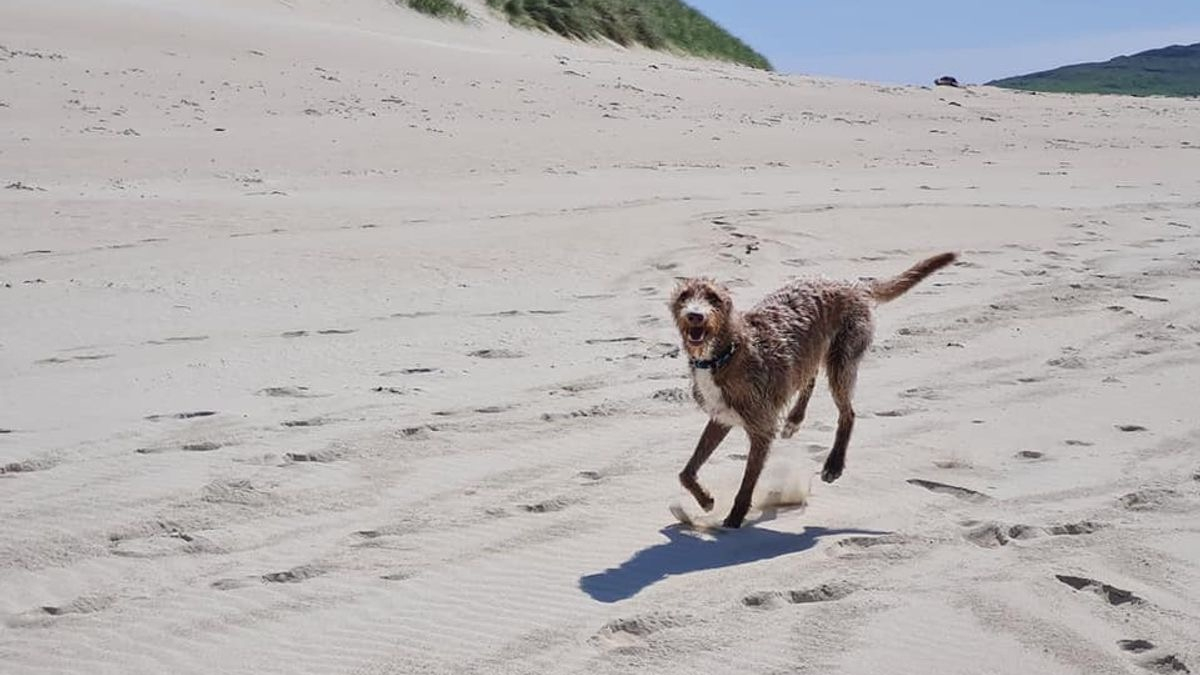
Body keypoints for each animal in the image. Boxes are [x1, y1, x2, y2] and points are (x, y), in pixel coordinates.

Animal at [667, 251, 955, 526]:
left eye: (713, 298)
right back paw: (795, 419)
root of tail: (853, 285)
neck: (725, 353)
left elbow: (747, 482)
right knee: (811, 378)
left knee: (847, 413)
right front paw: (705, 500)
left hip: (842, 359)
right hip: (812, 353)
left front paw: (735, 518)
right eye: (684, 296)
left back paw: (834, 464)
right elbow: (685, 472)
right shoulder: (721, 417)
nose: (695, 315)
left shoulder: (761, 427)